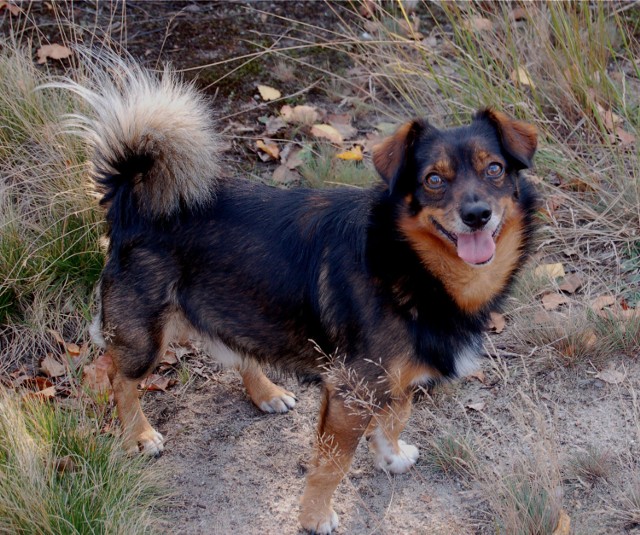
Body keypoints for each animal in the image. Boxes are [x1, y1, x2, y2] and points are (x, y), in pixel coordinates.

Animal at [62, 56, 536, 532]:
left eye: (494, 169)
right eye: (434, 179)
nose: (477, 215)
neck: (407, 260)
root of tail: (131, 196)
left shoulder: (391, 380)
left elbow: (395, 419)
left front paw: (392, 456)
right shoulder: (349, 392)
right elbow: (332, 464)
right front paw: (315, 515)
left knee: (236, 347)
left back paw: (267, 392)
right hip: (145, 335)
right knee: (119, 376)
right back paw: (138, 435)